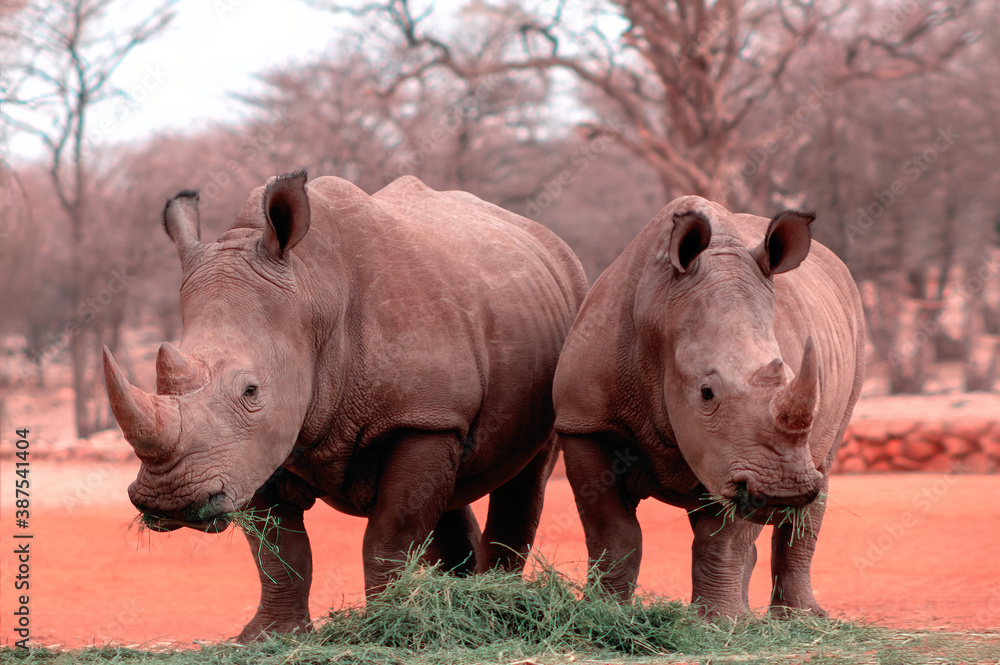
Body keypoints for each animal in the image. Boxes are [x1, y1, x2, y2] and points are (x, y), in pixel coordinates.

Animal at [103, 172, 588, 641]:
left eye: (251, 391)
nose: (169, 500)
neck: (313, 292)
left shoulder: (421, 419)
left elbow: (390, 534)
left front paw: (385, 626)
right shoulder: (255, 447)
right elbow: (278, 549)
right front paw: (269, 636)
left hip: (563, 316)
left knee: (526, 473)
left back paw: (495, 603)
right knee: (451, 490)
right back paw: (458, 603)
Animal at [552, 195, 864, 617]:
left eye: (787, 375)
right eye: (706, 392)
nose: (784, 491)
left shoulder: (744, 461)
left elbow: (723, 541)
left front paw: (720, 622)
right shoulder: (585, 422)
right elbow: (612, 531)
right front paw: (604, 611)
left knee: (822, 468)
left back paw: (799, 619)